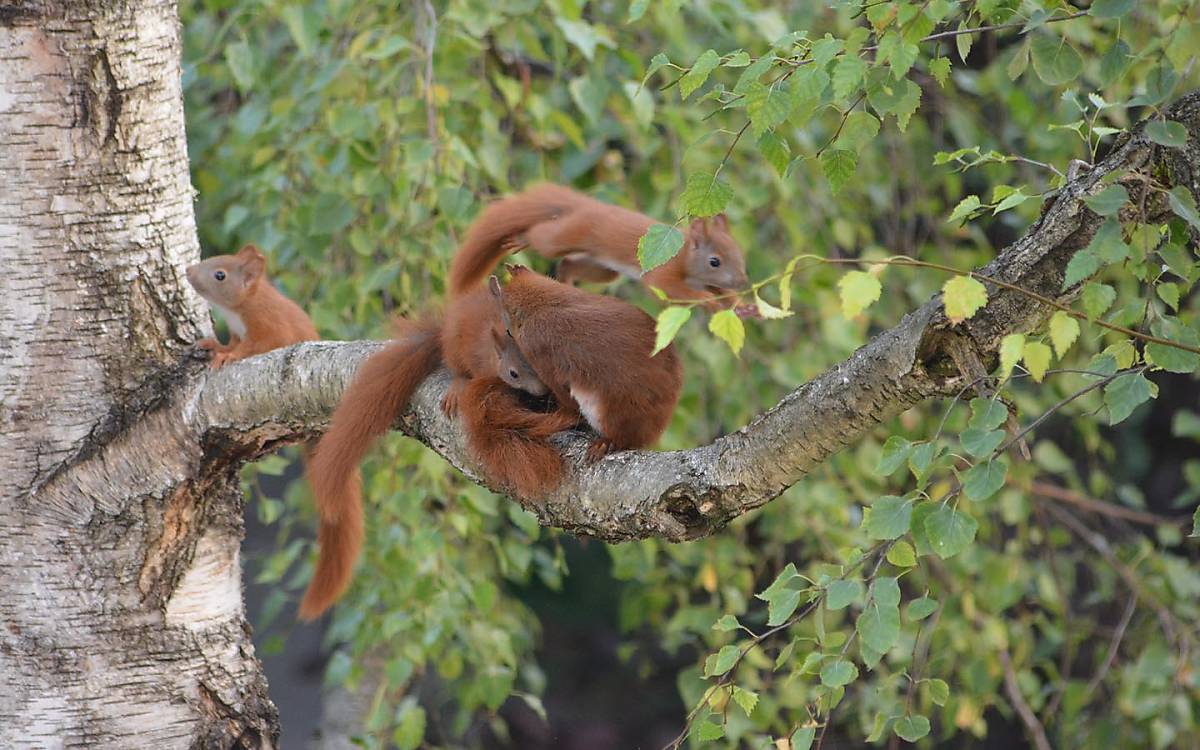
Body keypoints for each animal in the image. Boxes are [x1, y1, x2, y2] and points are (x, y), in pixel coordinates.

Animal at [184, 242, 316, 364]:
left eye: (220, 275)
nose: (188, 270)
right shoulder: (236, 331)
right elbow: (231, 345)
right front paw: (214, 346)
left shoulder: (267, 323)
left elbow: (256, 346)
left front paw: (229, 356)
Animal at [451, 182, 748, 309]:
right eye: (714, 261)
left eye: (739, 254)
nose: (742, 281)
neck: (686, 257)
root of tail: (589, 206)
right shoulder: (664, 273)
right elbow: (673, 290)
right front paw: (709, 300)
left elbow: (722, 293)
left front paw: (742, 306)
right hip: (567, 234)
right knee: (543, 238)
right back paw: (523, 238)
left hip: (601, 267)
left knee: (568, 264)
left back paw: (567, 286)